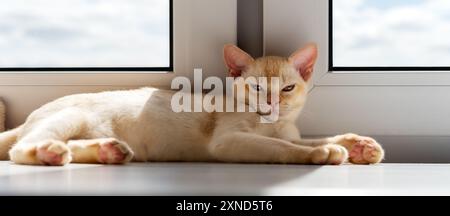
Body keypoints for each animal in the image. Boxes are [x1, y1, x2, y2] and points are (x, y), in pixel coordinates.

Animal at [0, 43, 384, 165]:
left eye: (288, 88)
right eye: (258, 87)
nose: (273, 102)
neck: (272, 123)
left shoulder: (288, 131)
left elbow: (307, 138)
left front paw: (358, 145)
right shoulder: (228, 141)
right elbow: (282, 147)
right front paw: (321, 153)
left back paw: (109, 151)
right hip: (68, 117)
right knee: (21, 148)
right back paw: (46, 153)